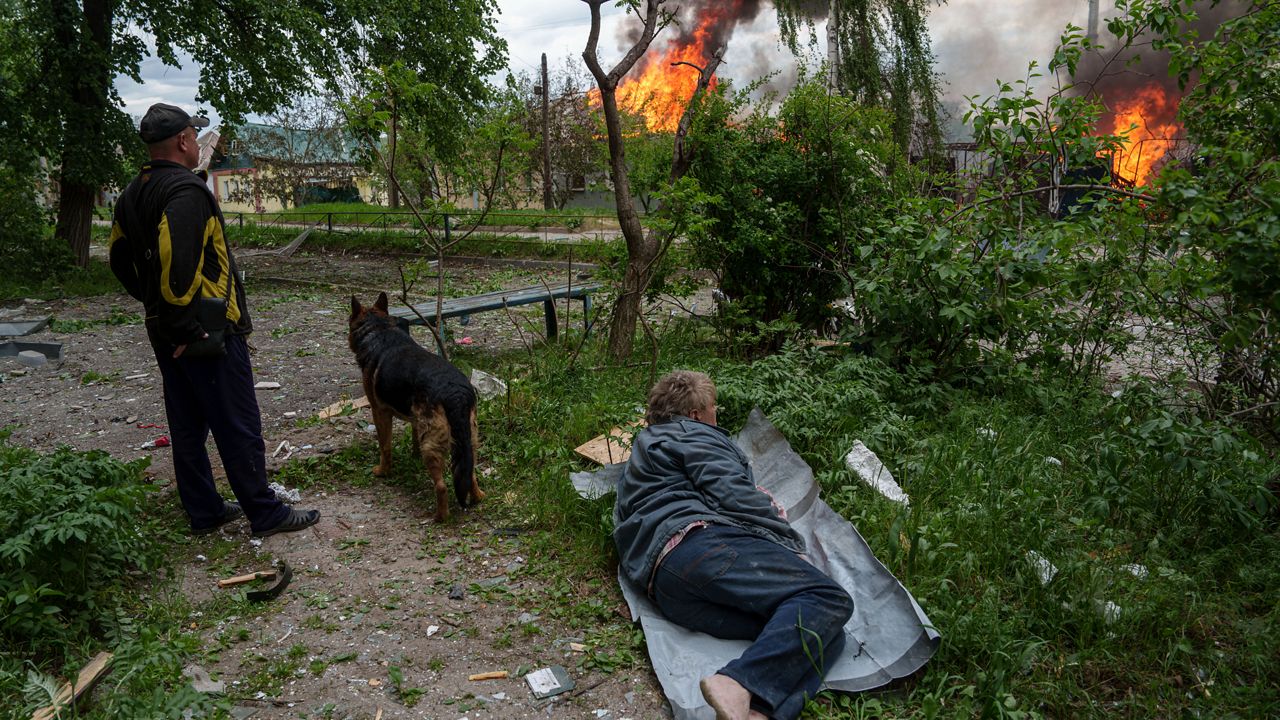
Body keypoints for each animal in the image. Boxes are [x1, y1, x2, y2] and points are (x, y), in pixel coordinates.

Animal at [348, 292, 481, 520]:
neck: (379, 331)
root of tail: (455, 393)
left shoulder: (379, 412)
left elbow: (385, 446)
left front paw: (383, 471)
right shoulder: (414, 419)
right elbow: (412, 438)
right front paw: (413, 456)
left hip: (433, 446)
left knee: (441, 487)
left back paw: (440, 517)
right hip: (468, 439)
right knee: (469, 473)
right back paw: (478, 497)